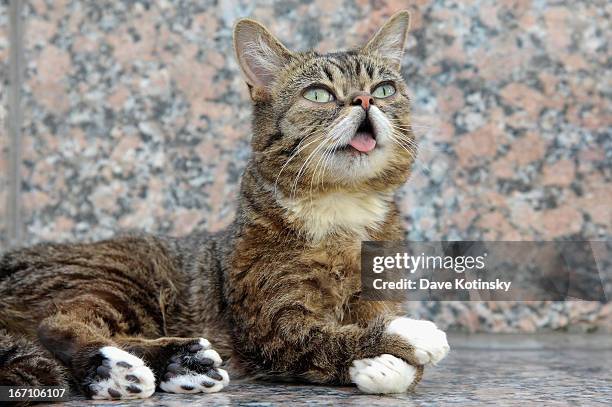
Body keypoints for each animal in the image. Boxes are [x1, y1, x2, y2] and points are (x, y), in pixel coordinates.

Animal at [0, 11, 450, 400]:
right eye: (319, 94)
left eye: (384, 89)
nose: (364, 101)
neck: (343, 210)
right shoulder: (272, 328)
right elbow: (327, 338)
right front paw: (406, 337)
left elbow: (391, 350)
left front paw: (385, 366)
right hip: (119, 277)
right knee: (57, 324)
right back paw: (113, 368)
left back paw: (183, 363)